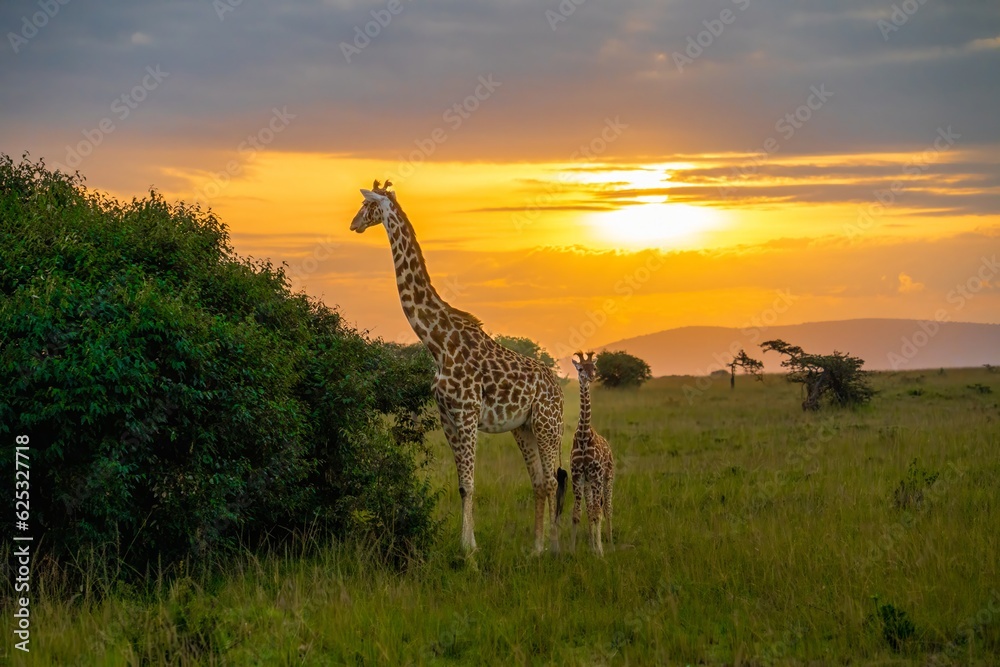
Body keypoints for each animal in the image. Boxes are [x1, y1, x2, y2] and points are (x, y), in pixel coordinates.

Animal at [349, 180, 567, 554]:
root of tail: (559, 390)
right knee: (539, 481)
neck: (437, 343)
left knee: (552, 481)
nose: (354, 224)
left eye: (366, 206)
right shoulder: (447, 416)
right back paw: (536, 548)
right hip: (522, 427)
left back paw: (554, 547)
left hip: (547, 424)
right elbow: (462, 485)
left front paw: (469, 551)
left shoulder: (466, 414)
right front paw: (466, 545)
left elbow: (470, 483)